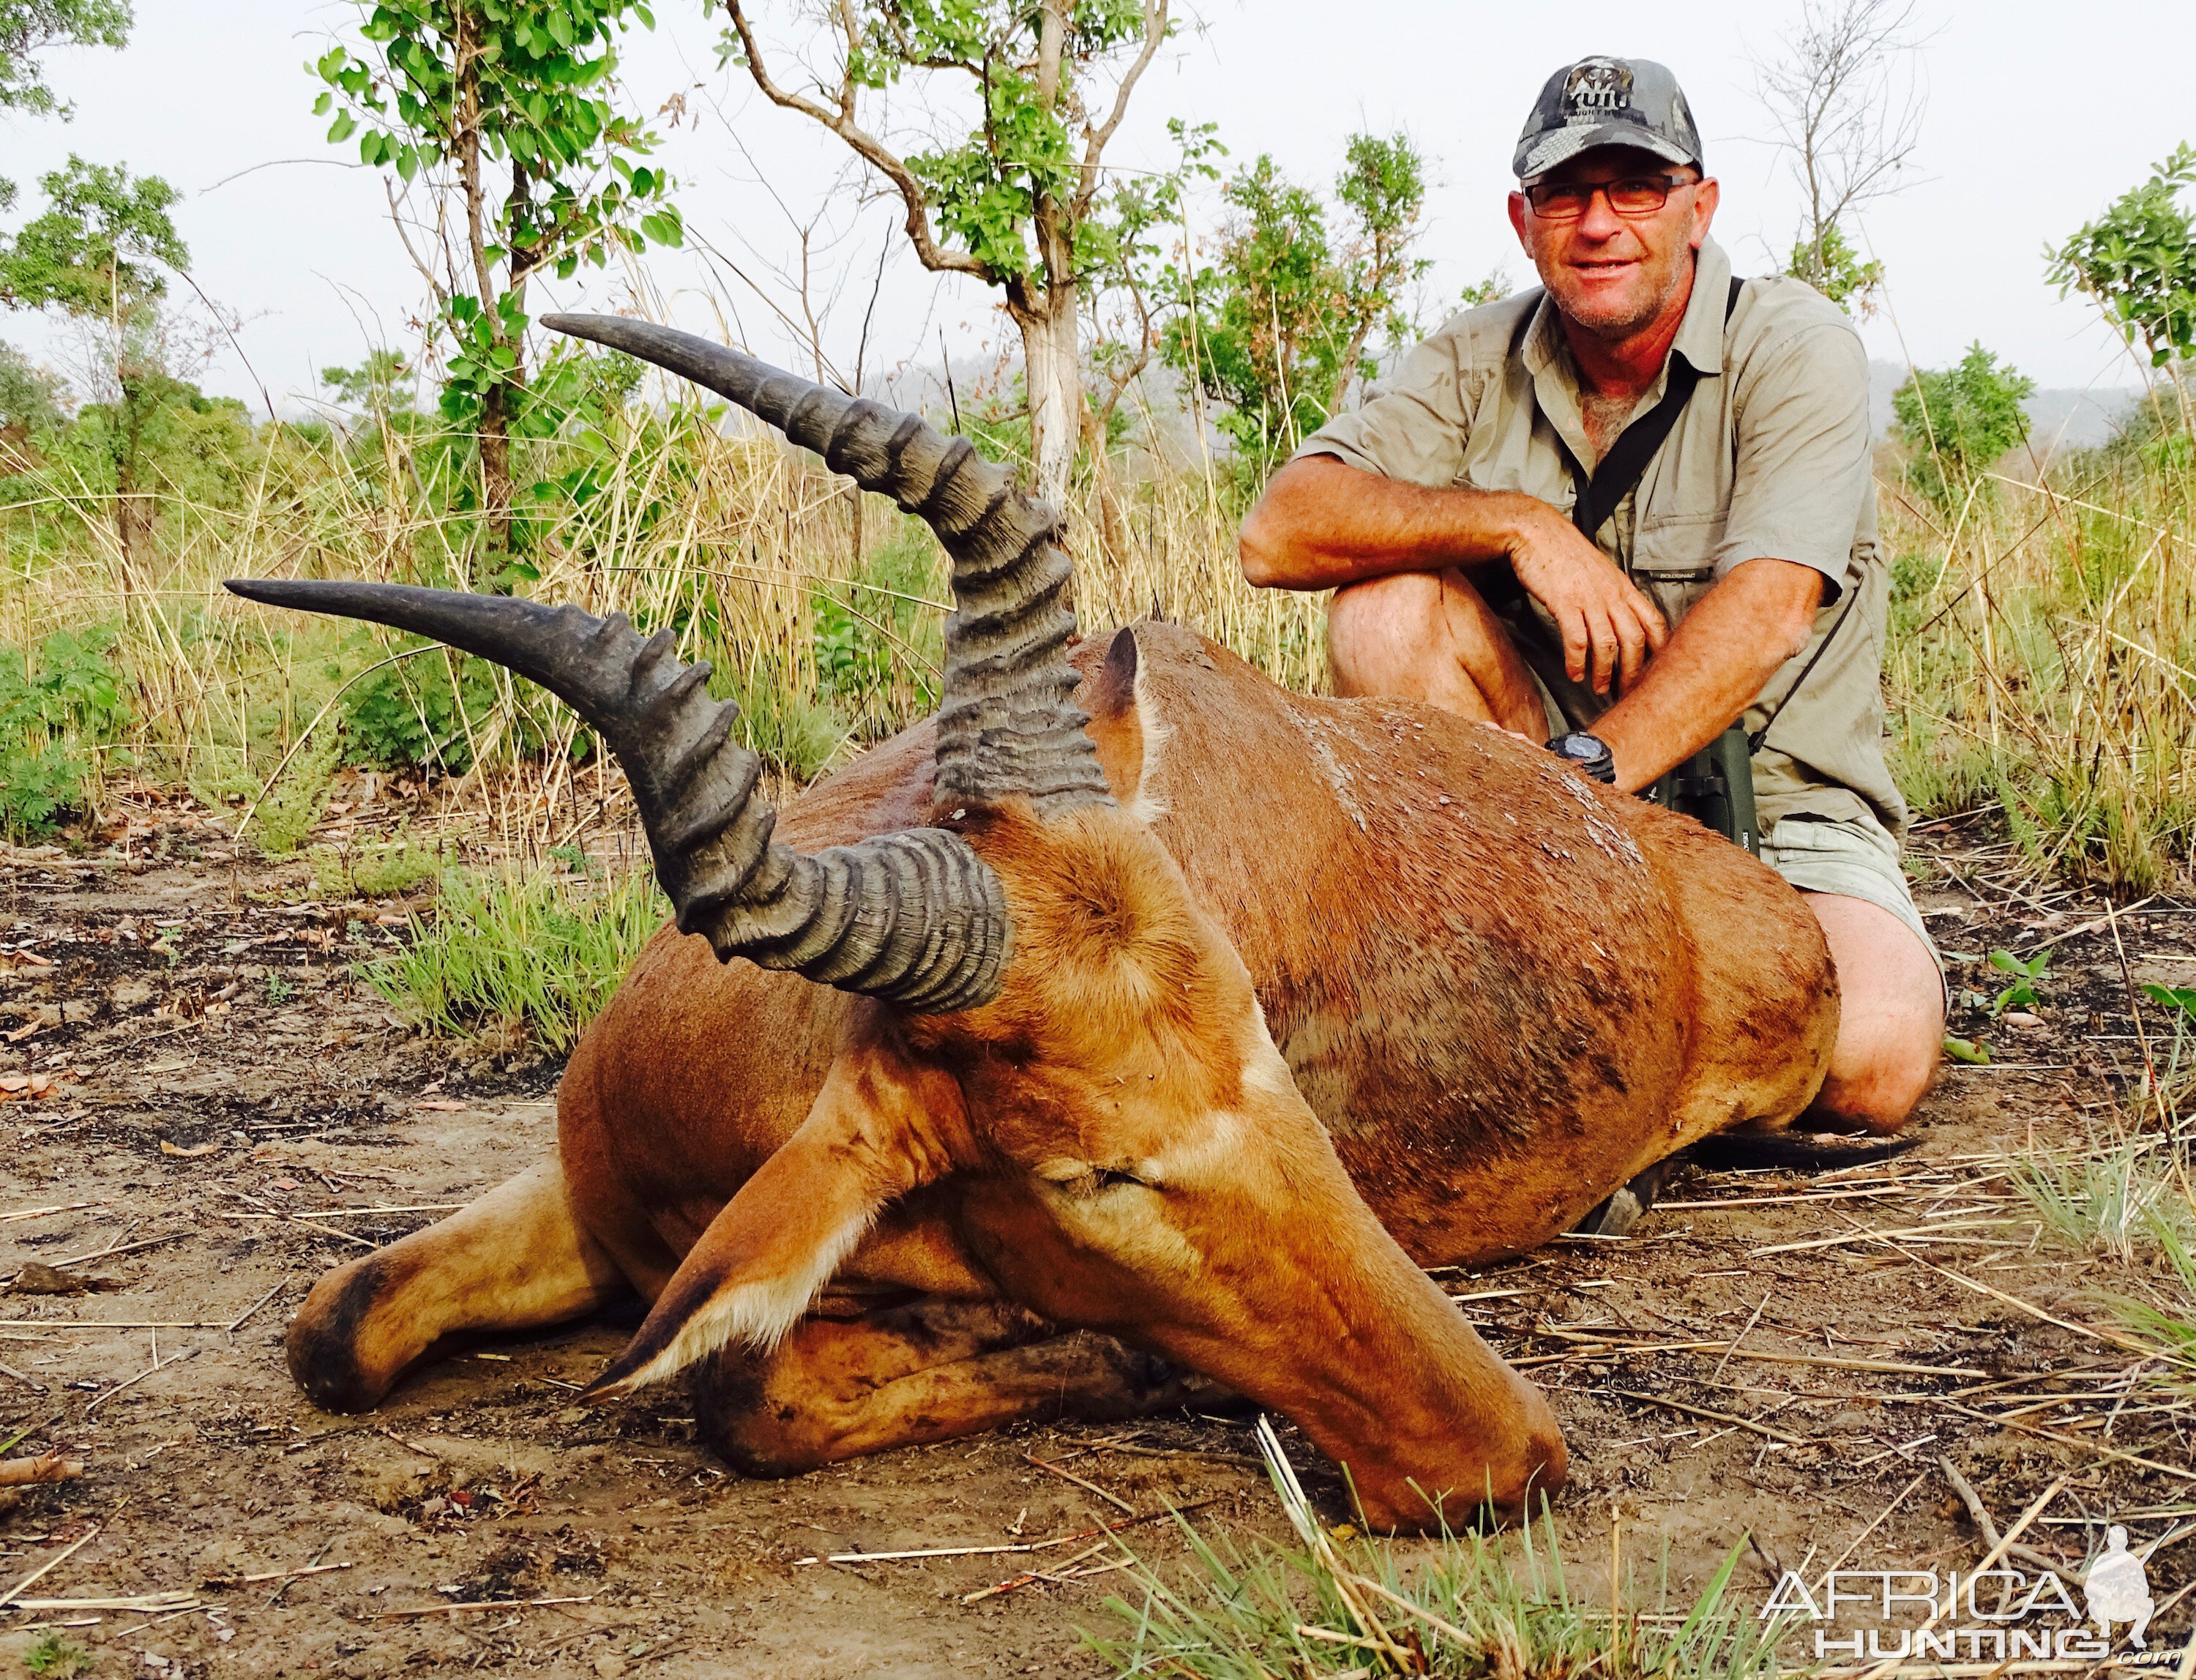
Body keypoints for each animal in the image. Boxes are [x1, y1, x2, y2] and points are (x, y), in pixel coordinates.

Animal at [227, 318, 1836, 1537]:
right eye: (1092, 1172)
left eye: (1278, 1054)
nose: (1512, 1455)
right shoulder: (587, 1196)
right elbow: (336, 1327)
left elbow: (739, 1390)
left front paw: (1138, 1362)